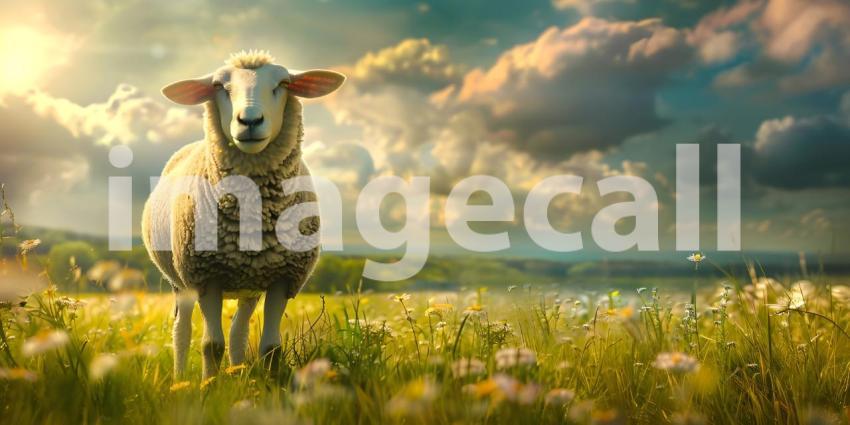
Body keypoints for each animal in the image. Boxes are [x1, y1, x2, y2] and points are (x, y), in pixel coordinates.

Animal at [141, 50, 345, 378]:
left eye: (283, 83)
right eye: (219, 86)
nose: (249, 120)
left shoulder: (283, 278)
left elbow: (271, 348)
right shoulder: (205, 276)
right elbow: (211, 345)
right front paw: (208, 386)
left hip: (249, 283)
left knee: (239, 330)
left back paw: (237, 373)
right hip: (179, 281)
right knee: (181, 331)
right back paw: (179, 379)